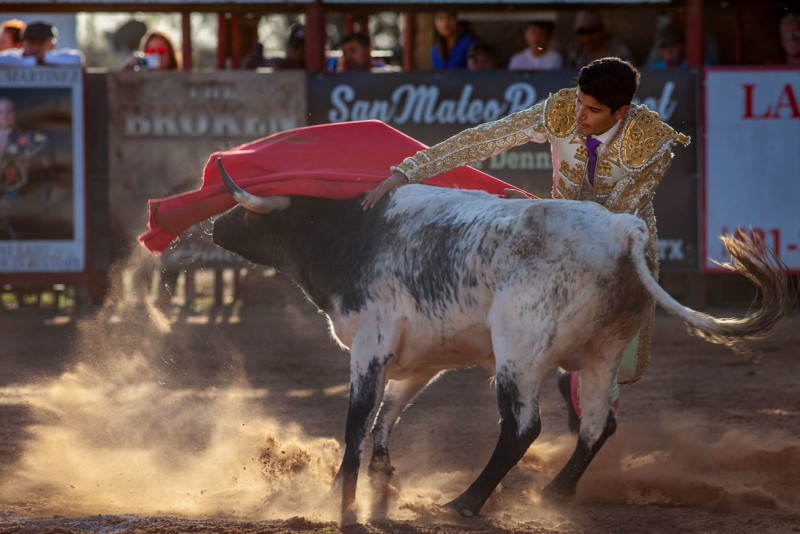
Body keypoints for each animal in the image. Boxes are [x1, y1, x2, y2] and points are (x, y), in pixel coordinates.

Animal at [209, 159, 792, 524]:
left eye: (247, 212)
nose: (215, 226)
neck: (351, 230)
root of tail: (623, 230)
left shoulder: (369, 348)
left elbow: (356, 421)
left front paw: (343, 496)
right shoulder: (422, 358)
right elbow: (388, 414)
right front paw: (378, 478)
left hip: (520, 350)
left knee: (523, 427)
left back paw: (465, 503)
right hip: (605, 346)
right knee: (596, 422)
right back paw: (557, 492)